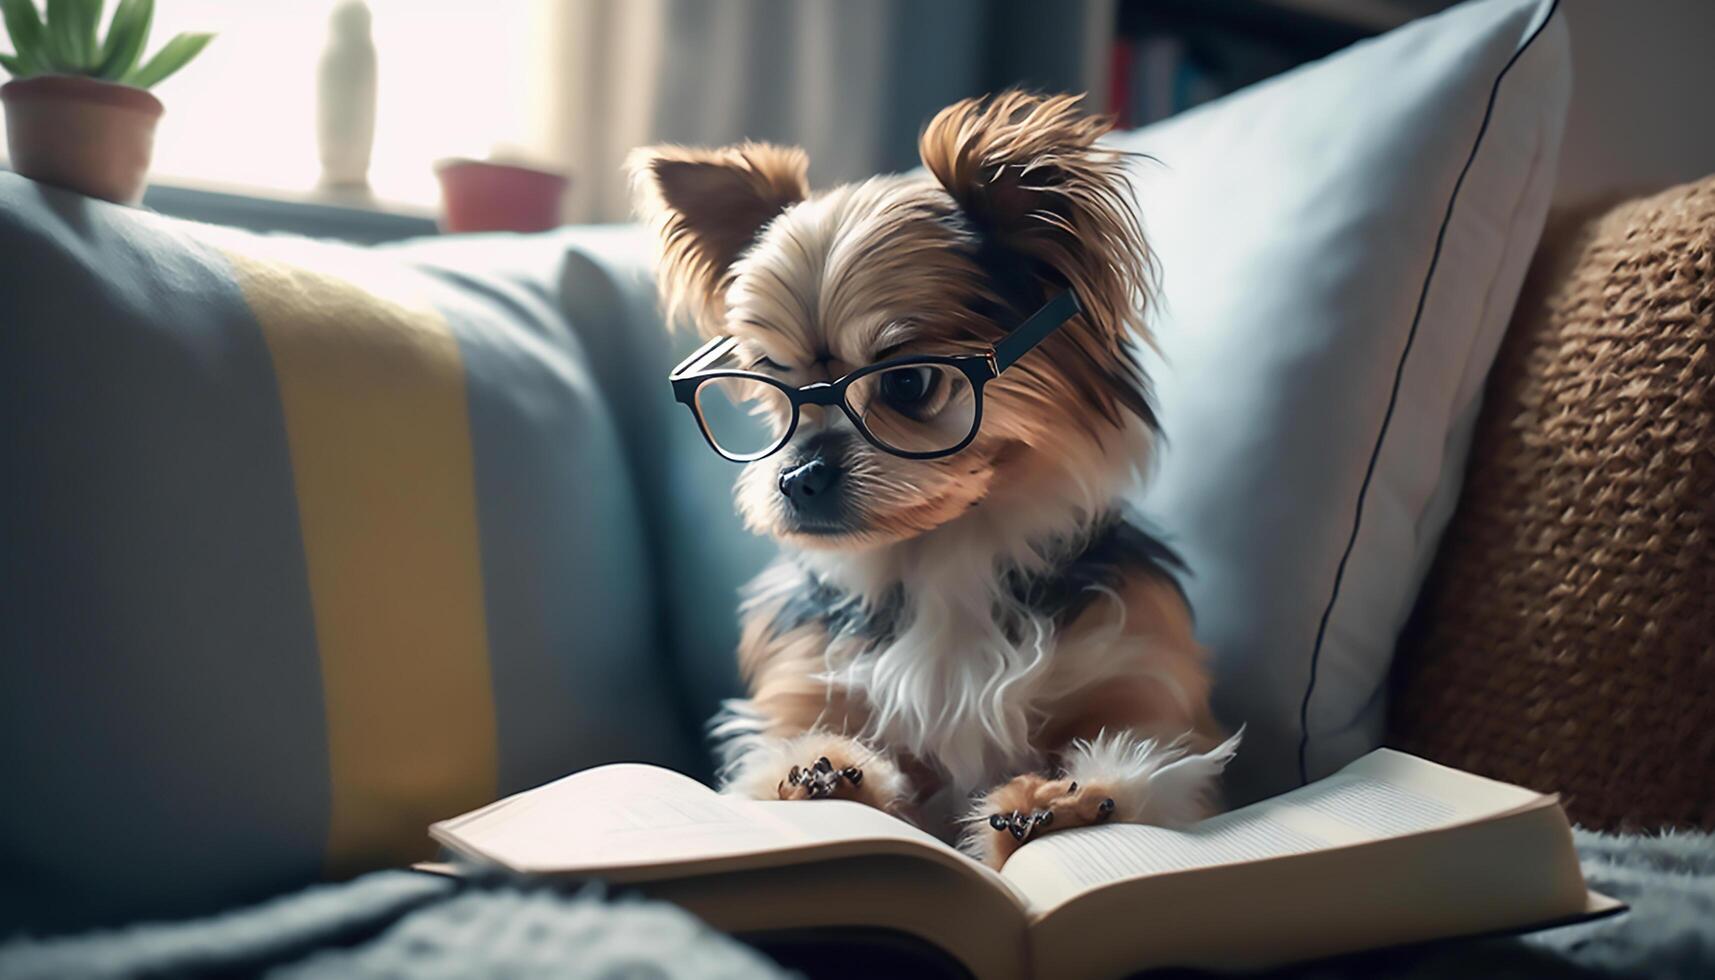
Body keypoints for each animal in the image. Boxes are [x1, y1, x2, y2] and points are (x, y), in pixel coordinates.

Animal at [627, 88, 1234, 861]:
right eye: (773, 385)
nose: (797, 478)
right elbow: (794, 764)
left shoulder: (1141, 686)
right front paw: (830, 774)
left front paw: (1058, 800)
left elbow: (1151, 770)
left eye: (909, 383)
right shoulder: (805, 688)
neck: (946, 557)